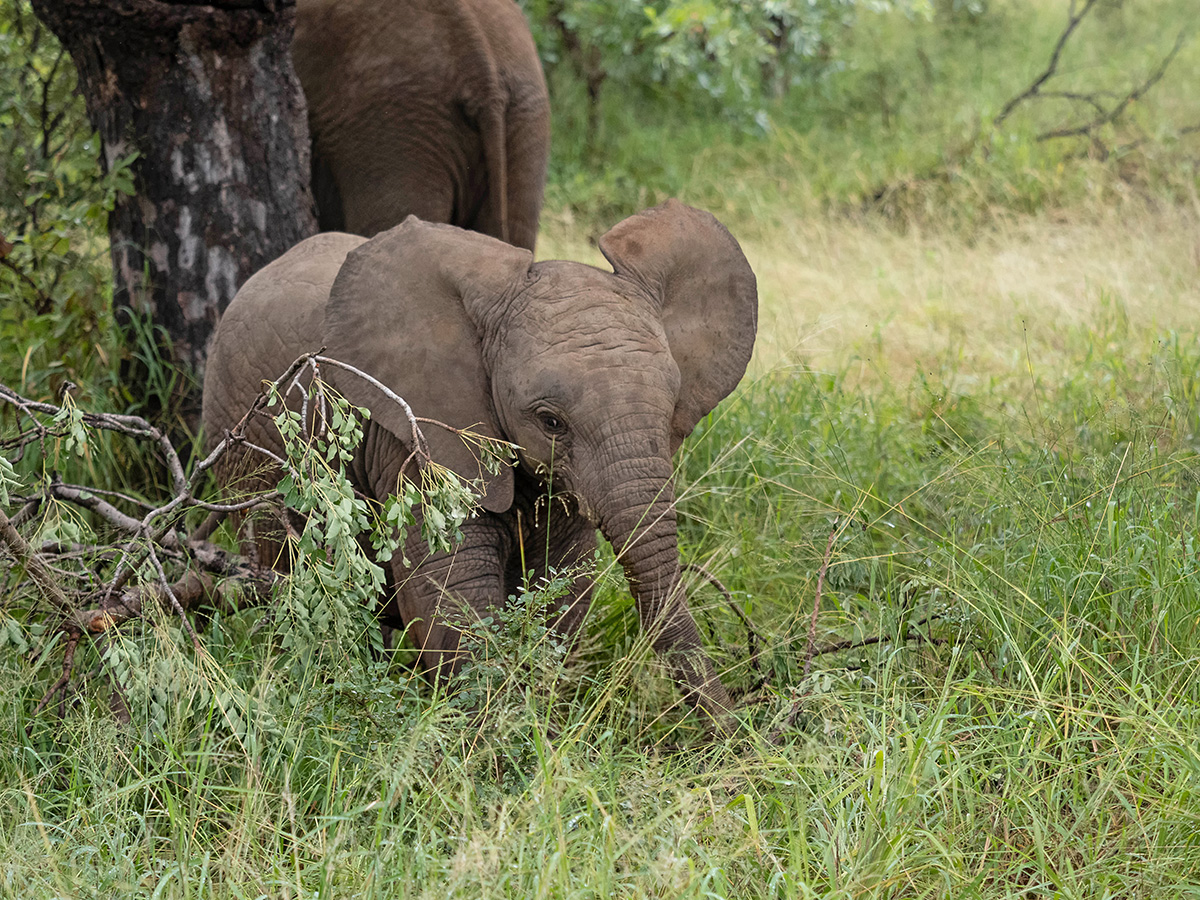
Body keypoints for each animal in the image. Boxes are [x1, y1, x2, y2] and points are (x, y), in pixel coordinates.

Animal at [200, 200, 753, 729]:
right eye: (551, 422)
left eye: (671, 408)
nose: (741, 735)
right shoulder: (411, 432)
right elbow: (452, 589)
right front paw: (498, 740)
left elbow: (562, 585)